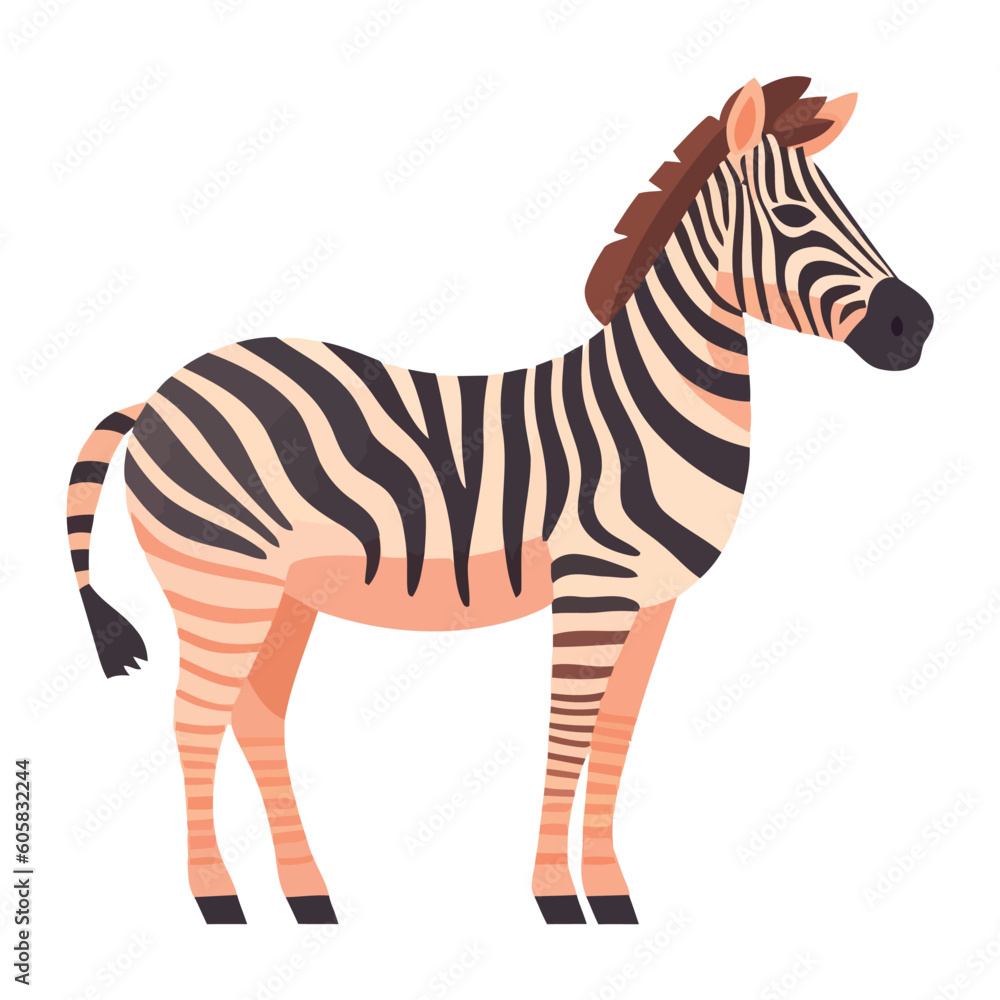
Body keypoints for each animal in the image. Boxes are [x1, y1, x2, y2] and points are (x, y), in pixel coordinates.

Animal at [67, 77, 933, 925]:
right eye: (793, 217)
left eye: (851, 209)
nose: (915, 323)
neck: (648, 405)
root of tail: (160, 392)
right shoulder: (592, 590)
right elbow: (569, 732)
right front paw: (556, 896)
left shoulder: (653, 602)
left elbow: (615, 737)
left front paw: (610, 892)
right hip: (221, 584)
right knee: (193, 719)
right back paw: (218, 897)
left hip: (285, 595)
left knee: (256, 715)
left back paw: (308, 895)